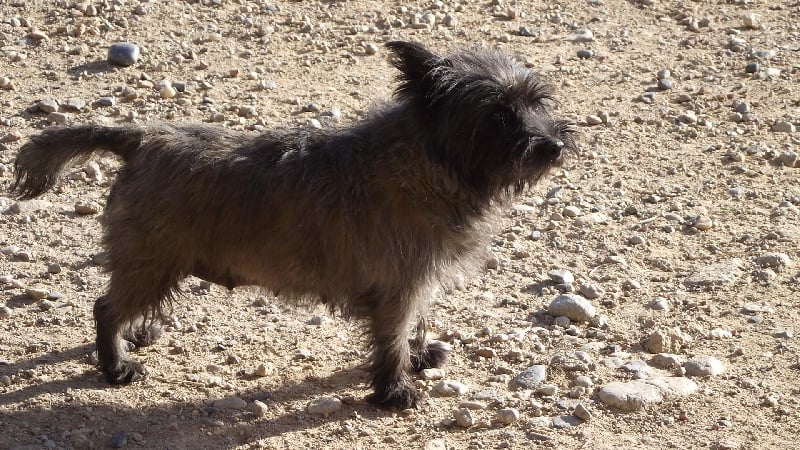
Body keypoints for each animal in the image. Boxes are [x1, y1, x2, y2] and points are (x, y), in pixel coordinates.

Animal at [12, 40, 576, 410]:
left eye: (538, 101)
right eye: (499, 114)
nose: (554, 146)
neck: (424, 162)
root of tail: (143, 138)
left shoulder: (414, 283)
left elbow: (413, 326)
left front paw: (416, 358)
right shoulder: (397, 287)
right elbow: (391, 338)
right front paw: (393, 390)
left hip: (153, 264)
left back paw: (138, 334)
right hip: (151, 261)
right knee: (105, 308)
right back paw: (115, 366)